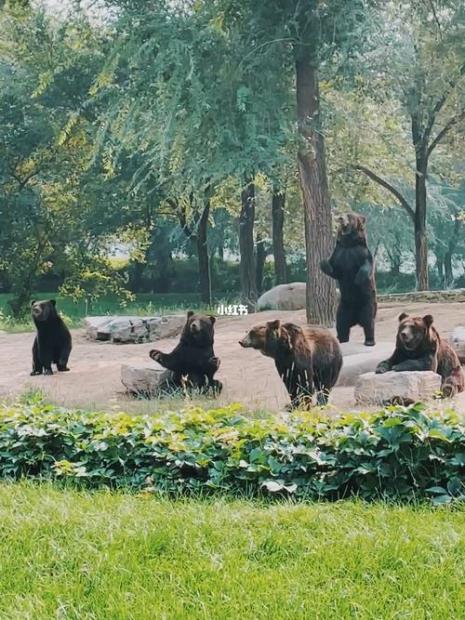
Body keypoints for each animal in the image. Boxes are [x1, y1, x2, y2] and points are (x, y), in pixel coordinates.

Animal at [320, 212, 376, 348]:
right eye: (342, 214)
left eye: (349, 216)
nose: (340, 218)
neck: (349, 243)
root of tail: (356, 319)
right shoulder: (339, 253)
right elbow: (333, 269)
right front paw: (324, 263)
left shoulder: (361, 252)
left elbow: (367, 266)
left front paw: (358, 278)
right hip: (344, 305)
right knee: (341, 321)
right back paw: (341, 338)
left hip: (366, 301)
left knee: (368, 320)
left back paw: (369, 340)